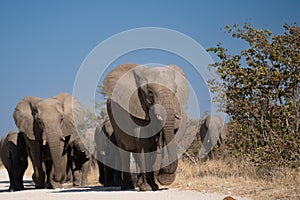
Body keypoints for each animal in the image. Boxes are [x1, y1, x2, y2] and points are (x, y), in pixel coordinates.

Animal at [103, 63, 188, 191]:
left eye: (175, 91)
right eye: (150, 92)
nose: (165, 172)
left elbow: (151, 149)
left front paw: (154, 187)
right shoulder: (137, 109)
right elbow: (143, 145)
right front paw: (146, 188)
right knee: (124, 151)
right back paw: (127, 187)